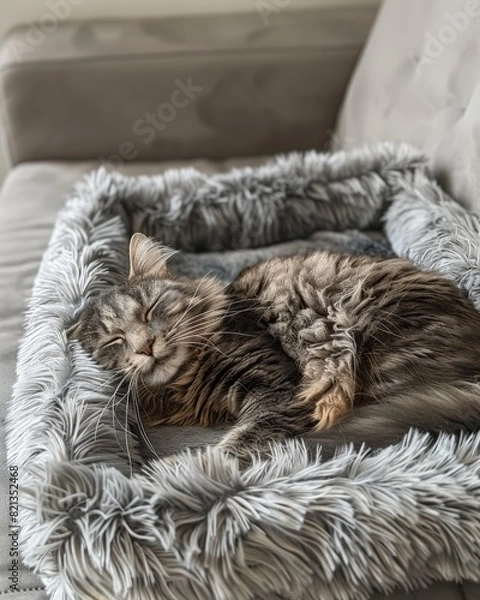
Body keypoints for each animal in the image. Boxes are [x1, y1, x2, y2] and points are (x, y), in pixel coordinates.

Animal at [68, 233, 480, 460]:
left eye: (150, 310)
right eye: (115, 340)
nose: (146, 346)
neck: (184, 380)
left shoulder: (280, 386)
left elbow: (238, 441)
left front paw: (185, 472)